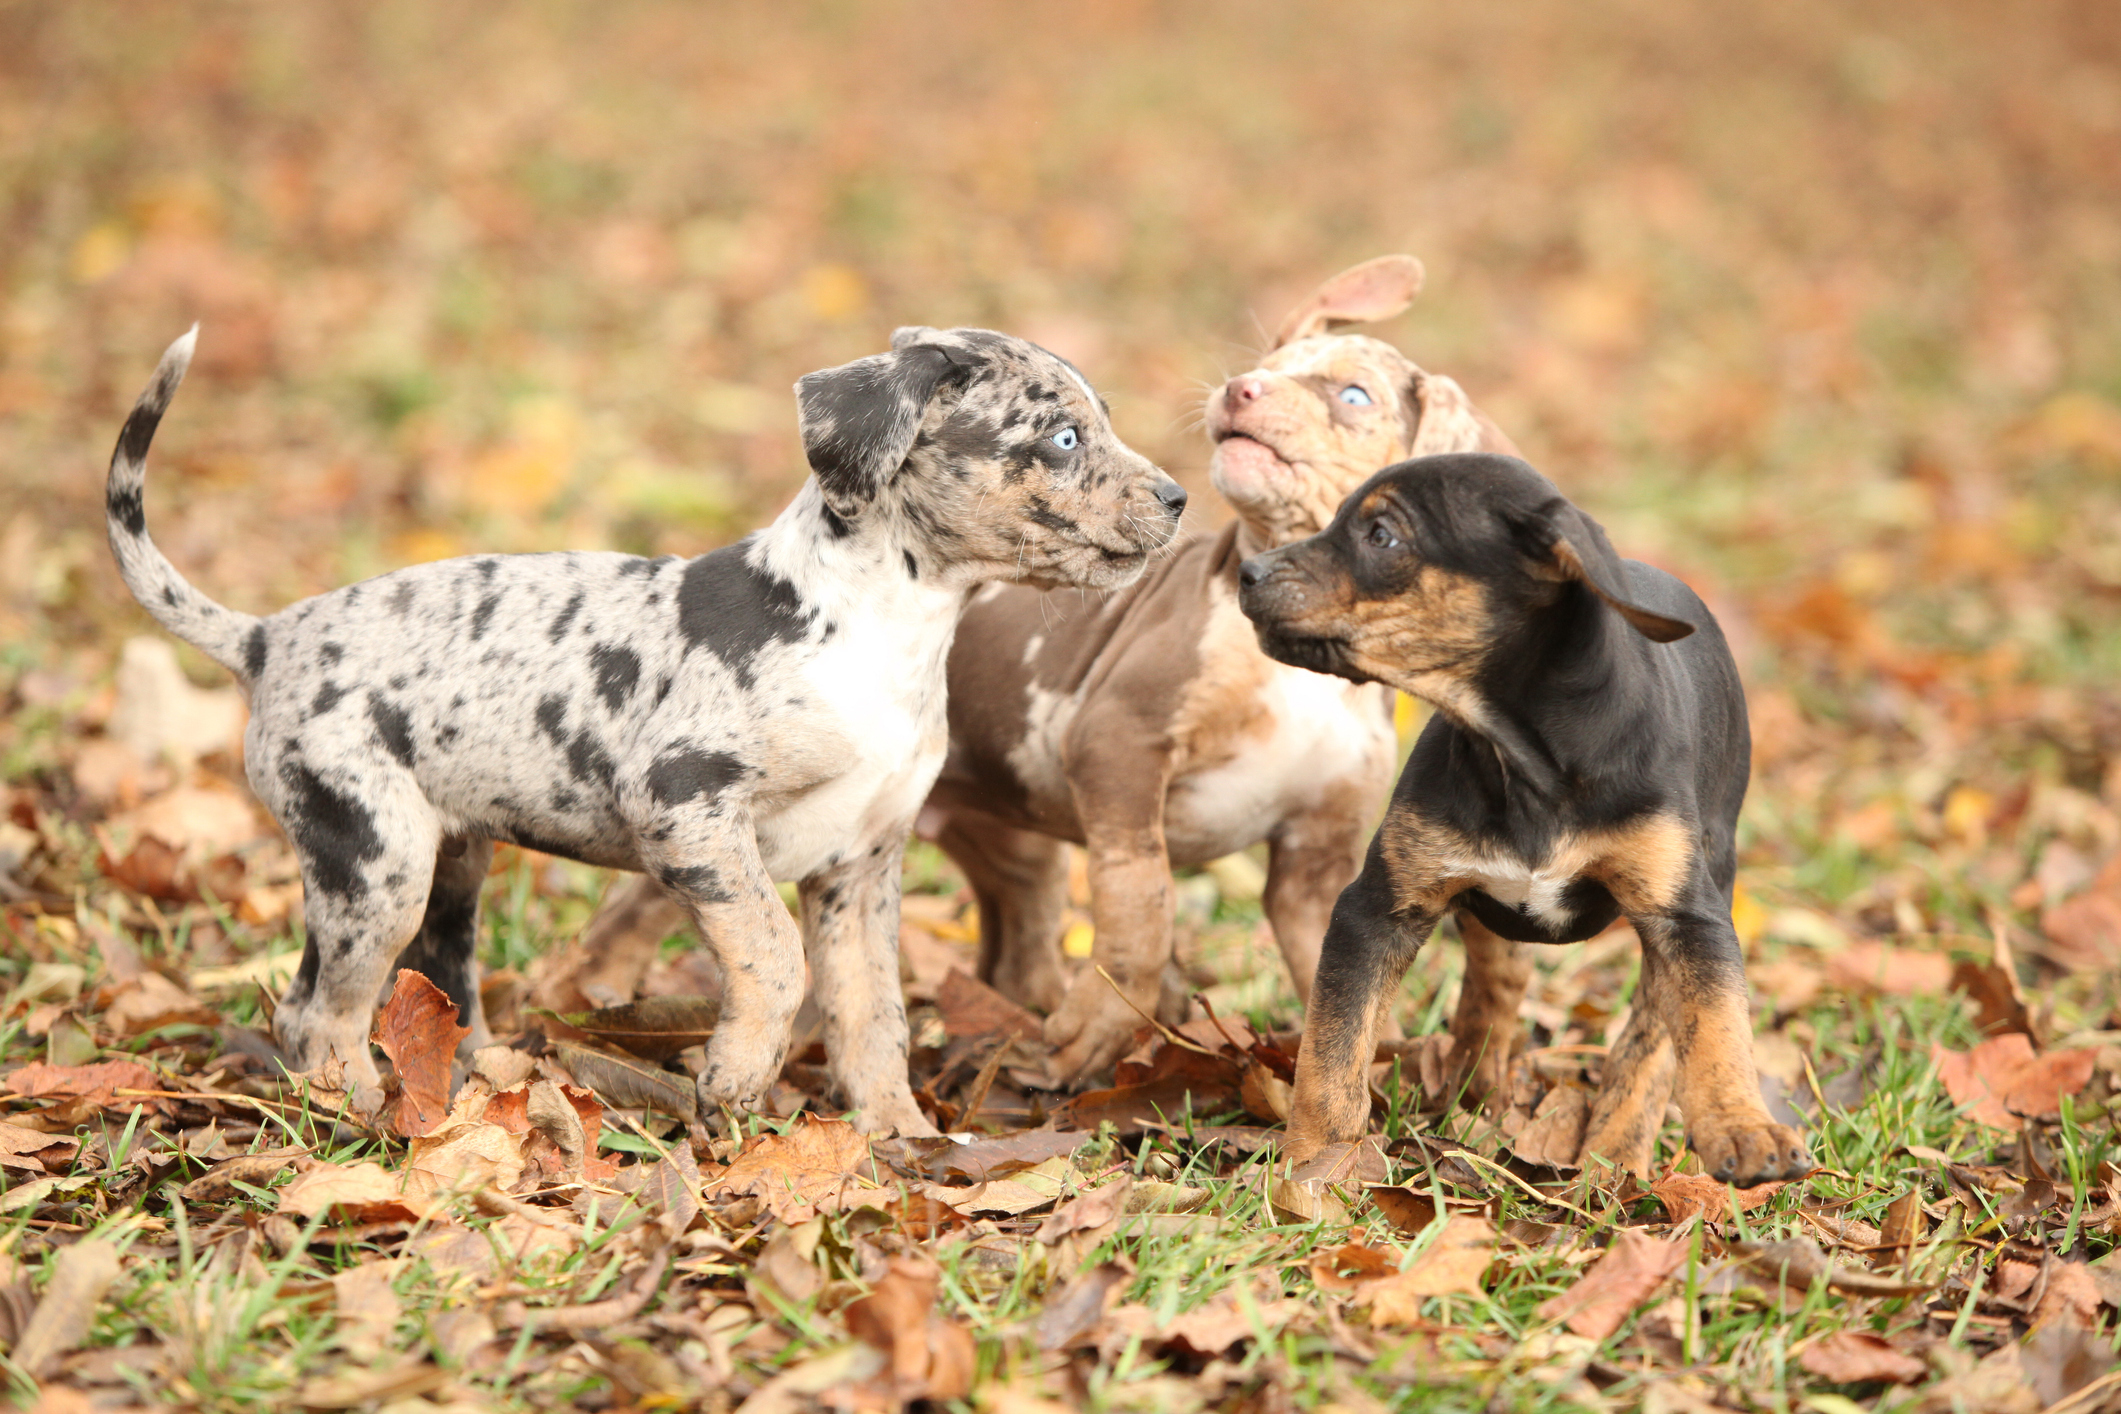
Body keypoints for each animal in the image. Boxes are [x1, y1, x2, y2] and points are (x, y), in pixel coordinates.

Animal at [107, 324, 1196, 1136]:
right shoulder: (687, 811)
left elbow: (870, 1014)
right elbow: (774, 954)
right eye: (1063, 438)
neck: (877, 629)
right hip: (375, 860)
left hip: (446, 863)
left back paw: (472, 1082)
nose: (1181, 498)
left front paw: (897, 1135)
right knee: (317, 1011)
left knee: (416, 984)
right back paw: (364, 1110)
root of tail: (267, 637)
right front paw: (735, 1077)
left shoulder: (862, 866)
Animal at [1238, 453, 1815, 1187]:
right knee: (1497, 977)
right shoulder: (1375, 909)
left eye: (1381, 535)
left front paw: (1742, 1128)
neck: (1521, 754)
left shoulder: (1689, 918)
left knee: (1649, 1040)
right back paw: (1473, 1081)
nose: (1246, 571)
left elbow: (1714, 1029)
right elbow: (1332, 1049)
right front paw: (1313, 1166)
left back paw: (1615, 1158)